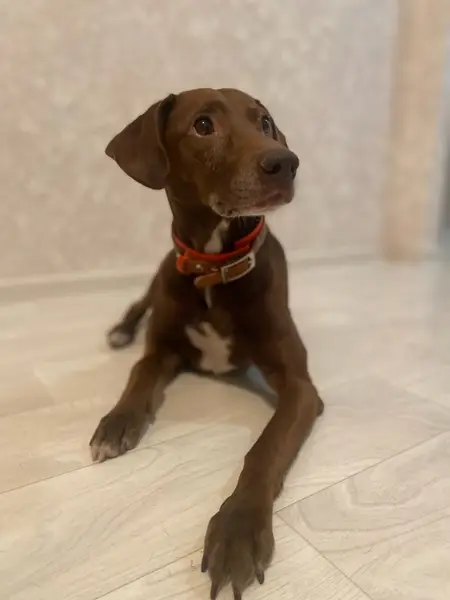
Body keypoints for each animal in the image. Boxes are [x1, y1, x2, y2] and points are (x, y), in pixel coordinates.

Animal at [90, 88, 324, 600]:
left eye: (265, 122)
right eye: (202, 125)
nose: (286, 162)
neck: (215, 269)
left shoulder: (301, 387)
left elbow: (265, 448)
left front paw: (238, 530)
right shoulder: (161, 350)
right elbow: (139, 375)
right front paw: (117, 422)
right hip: (160, 273)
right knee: (138, 303)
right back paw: (120, 330)